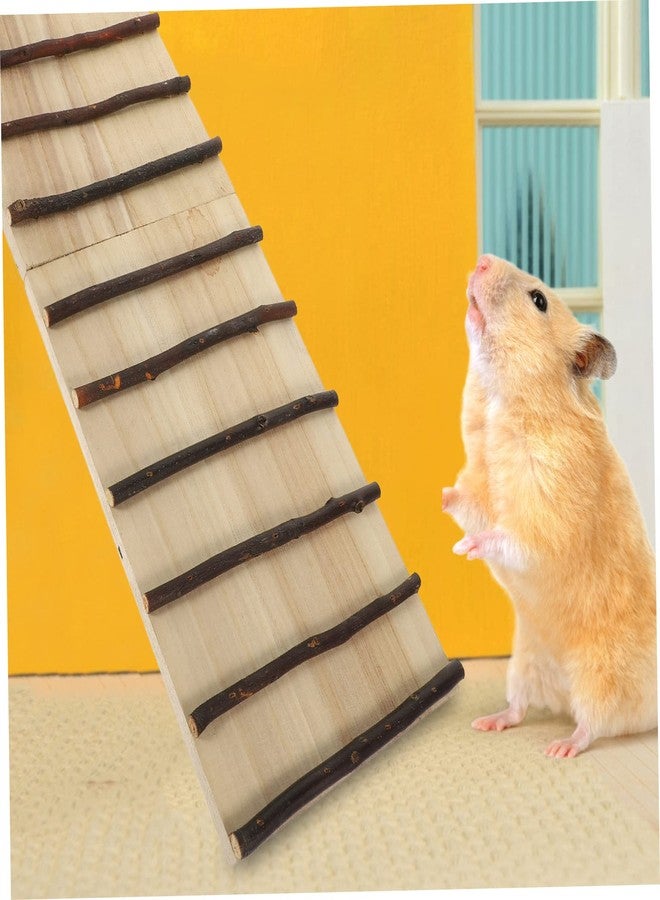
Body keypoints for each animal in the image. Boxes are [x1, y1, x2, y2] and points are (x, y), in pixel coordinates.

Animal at [442, 253, 657, 758]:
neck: (502, 400)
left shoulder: (549, 512)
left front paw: (467, 550)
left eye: (539, 299)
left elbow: (513, 538)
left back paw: (561, 747)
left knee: (594, 723)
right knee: (520, 707)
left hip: (601, 675)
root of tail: (562, 696)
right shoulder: (481, 485)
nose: (482, 260)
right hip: (525, 660)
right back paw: (489, 722)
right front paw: (438, 495)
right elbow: (467, 502)